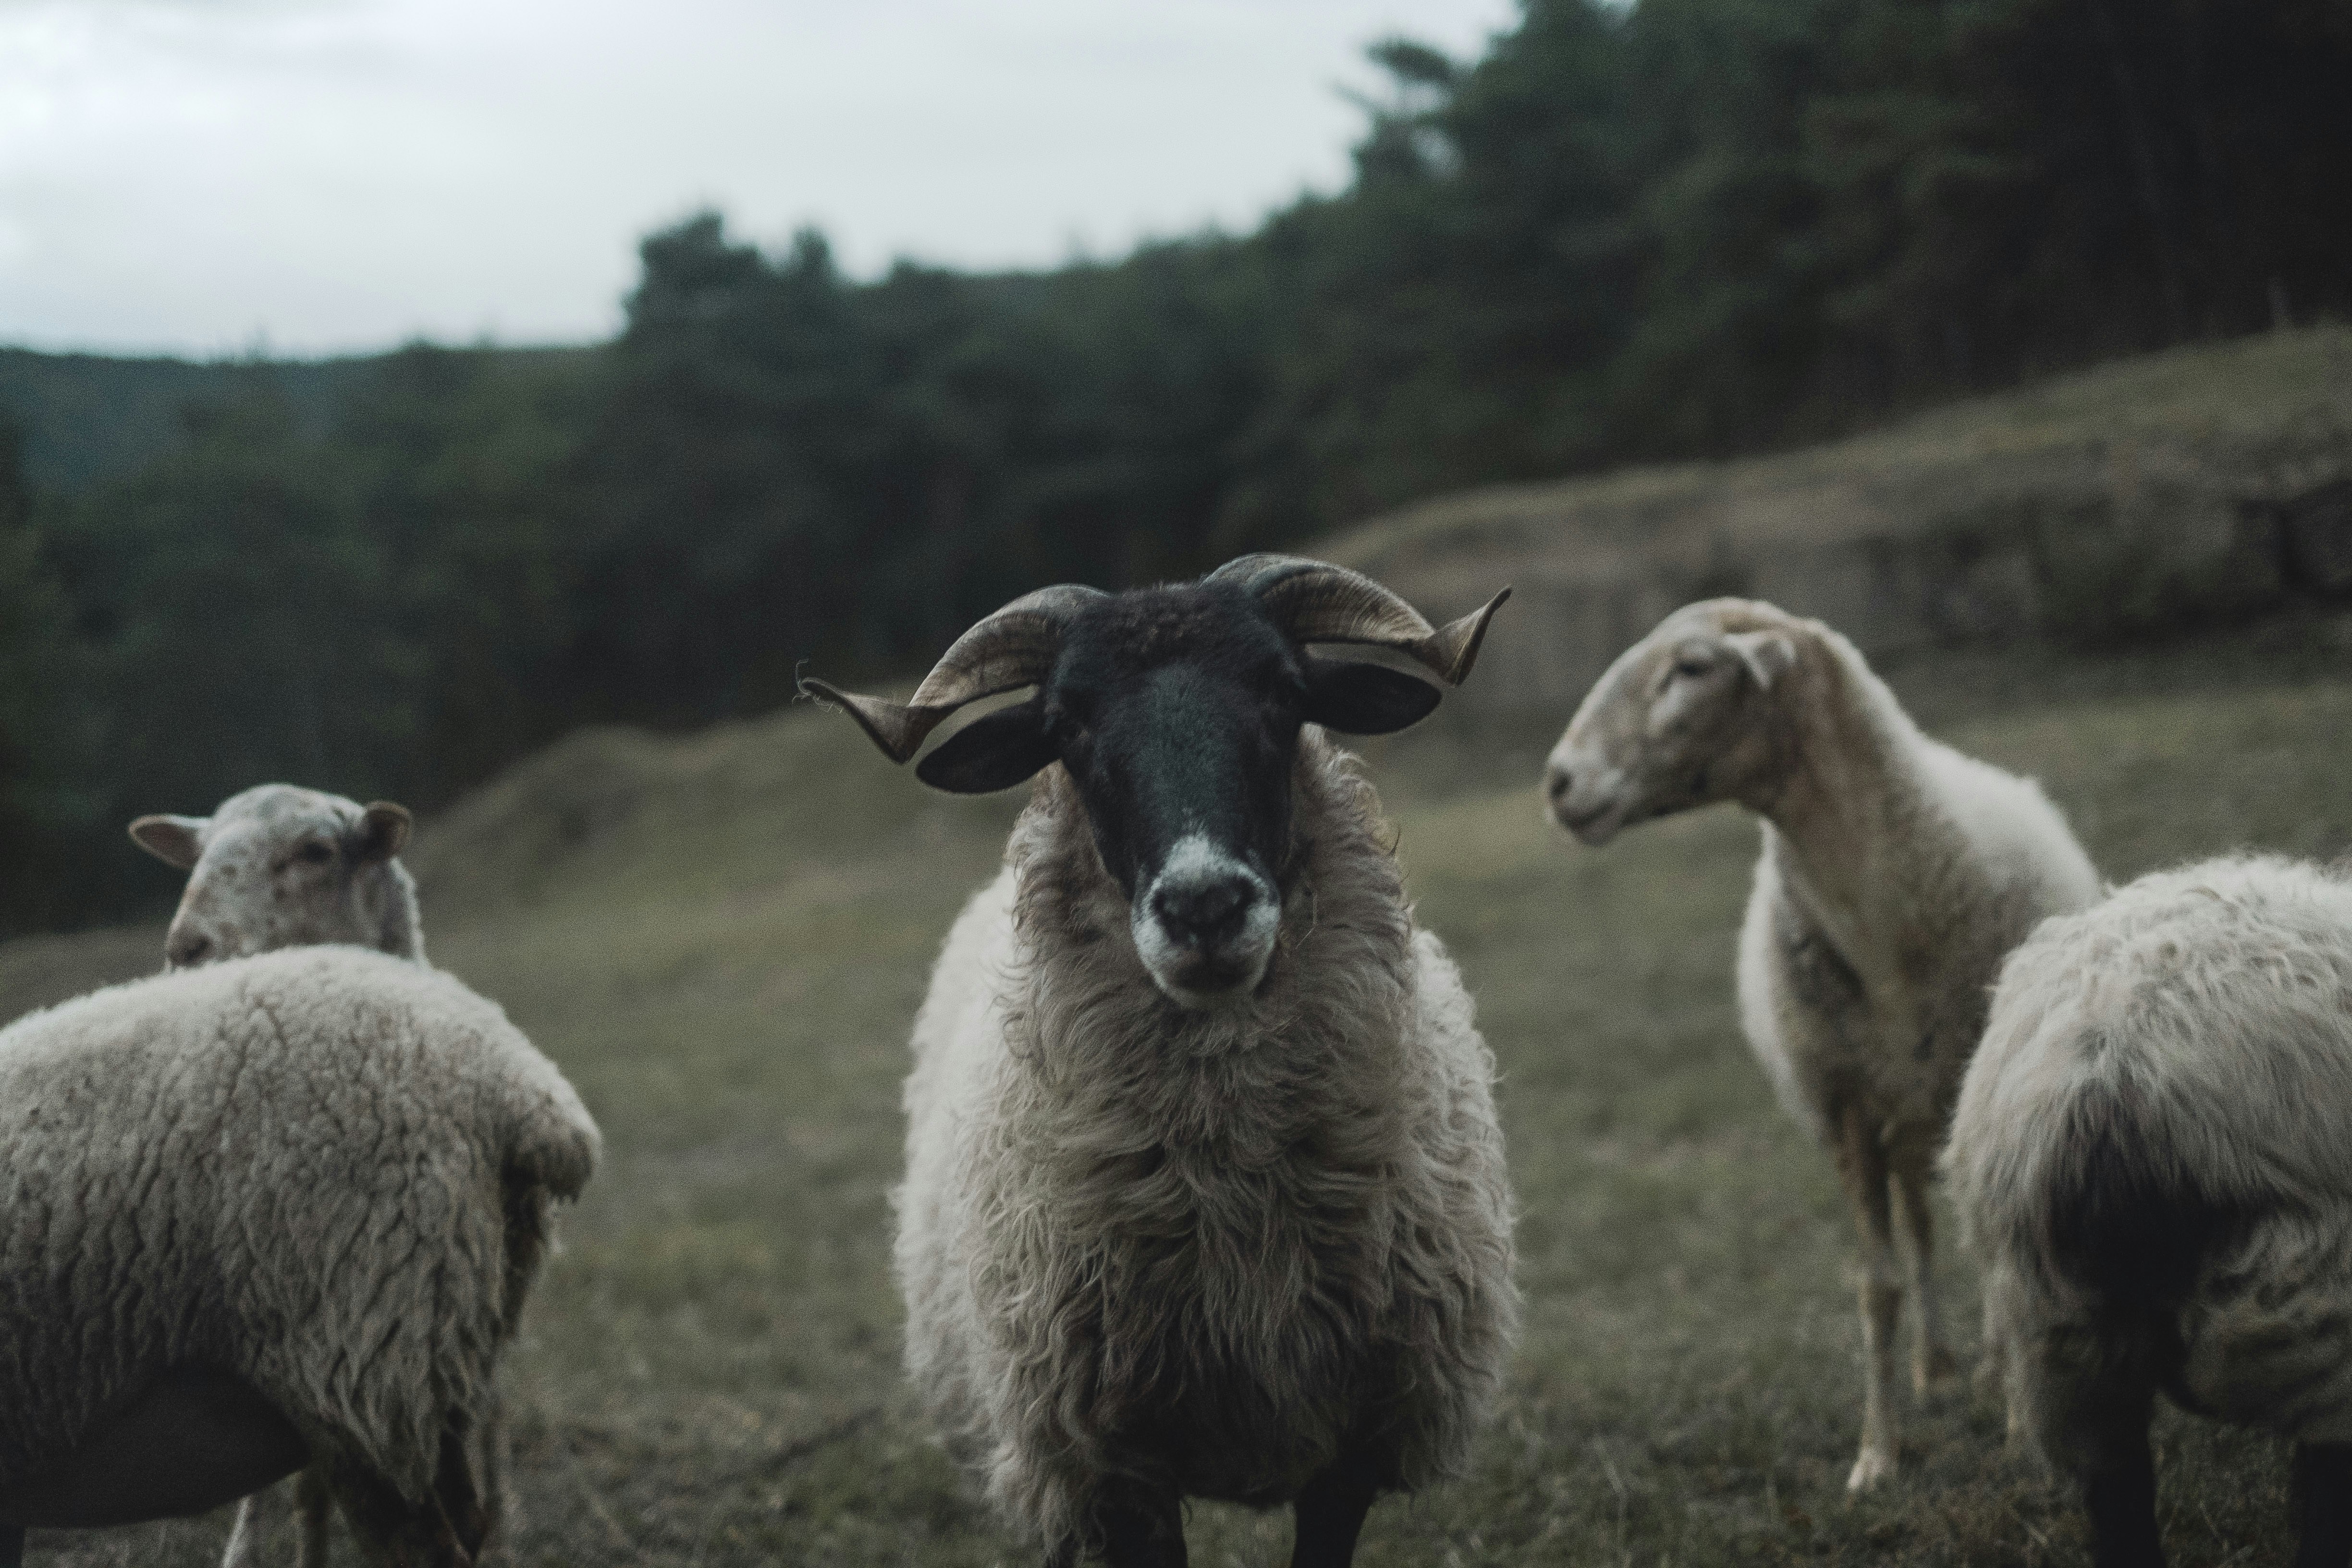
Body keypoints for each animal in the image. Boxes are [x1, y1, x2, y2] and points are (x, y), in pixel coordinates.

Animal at [804, 554, 1519, 1568]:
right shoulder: (1108, 1462)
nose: (1204, 904)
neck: (1236, 1210)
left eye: (1284, 691)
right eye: (1068, 725)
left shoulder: (1357, 1440)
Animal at [1542, 597, 2100, 1492]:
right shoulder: (1845, 1108)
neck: (1884, 922)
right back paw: (1937, 1366)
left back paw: (1986, 1366)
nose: (1558, 782)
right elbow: (1877, 1282)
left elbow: (1997, 1259)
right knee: (1920, 1224)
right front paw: (1877, 1455)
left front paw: (2021, 1432)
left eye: (1691, 668)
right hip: (1903, 1116)